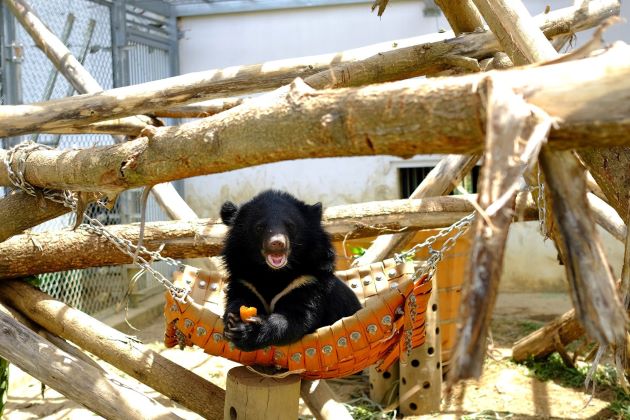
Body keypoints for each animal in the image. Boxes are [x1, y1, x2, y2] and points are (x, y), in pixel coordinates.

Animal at [222, 189, 362, 352]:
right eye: (259, 227)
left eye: (290, 226)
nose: (277, 243)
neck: (272, 273)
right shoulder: (245, 280)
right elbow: (239, 298)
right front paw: (233, 319)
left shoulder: (306, 282)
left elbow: (296, 318)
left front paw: (249, 332)